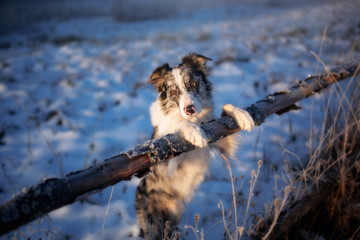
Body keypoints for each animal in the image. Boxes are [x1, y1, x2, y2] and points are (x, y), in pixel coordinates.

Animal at [134, 52, 255, 238]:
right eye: (173, 91)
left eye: (193, 83)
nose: (189, 109)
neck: (195, 119)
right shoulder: (163, 161)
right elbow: (178, 125)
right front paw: (193, 131)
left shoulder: (220, 138)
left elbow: (225, 109)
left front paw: (241, 113)